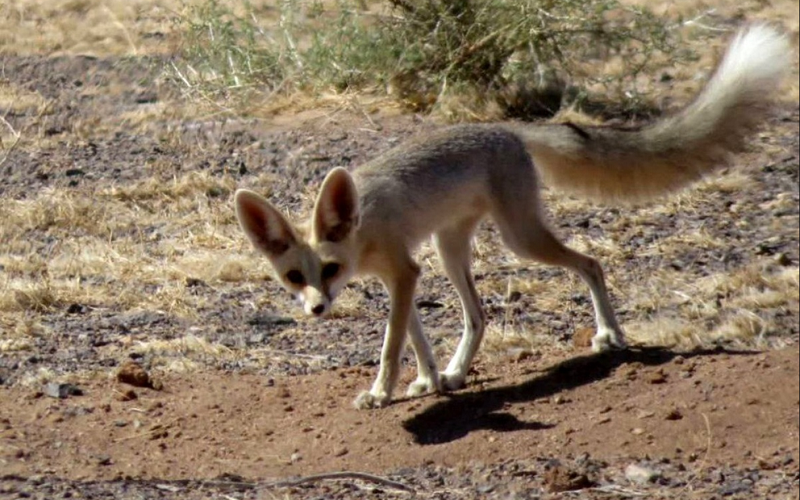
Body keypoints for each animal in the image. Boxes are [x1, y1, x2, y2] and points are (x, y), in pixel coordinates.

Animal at [234, 25, 792, 410]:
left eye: (328, 269)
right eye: (294, 277)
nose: (316, 309)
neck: (363, 226)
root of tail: (507, 129)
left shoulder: (404, 271)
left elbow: (392, 345)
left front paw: (381, 393)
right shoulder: (404, 275)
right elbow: (414, 337)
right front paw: (429, 379)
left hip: (520, 240)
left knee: (590, 263)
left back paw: (609, 337)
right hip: (449, 249)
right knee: (479, 315)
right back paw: (456, 374)